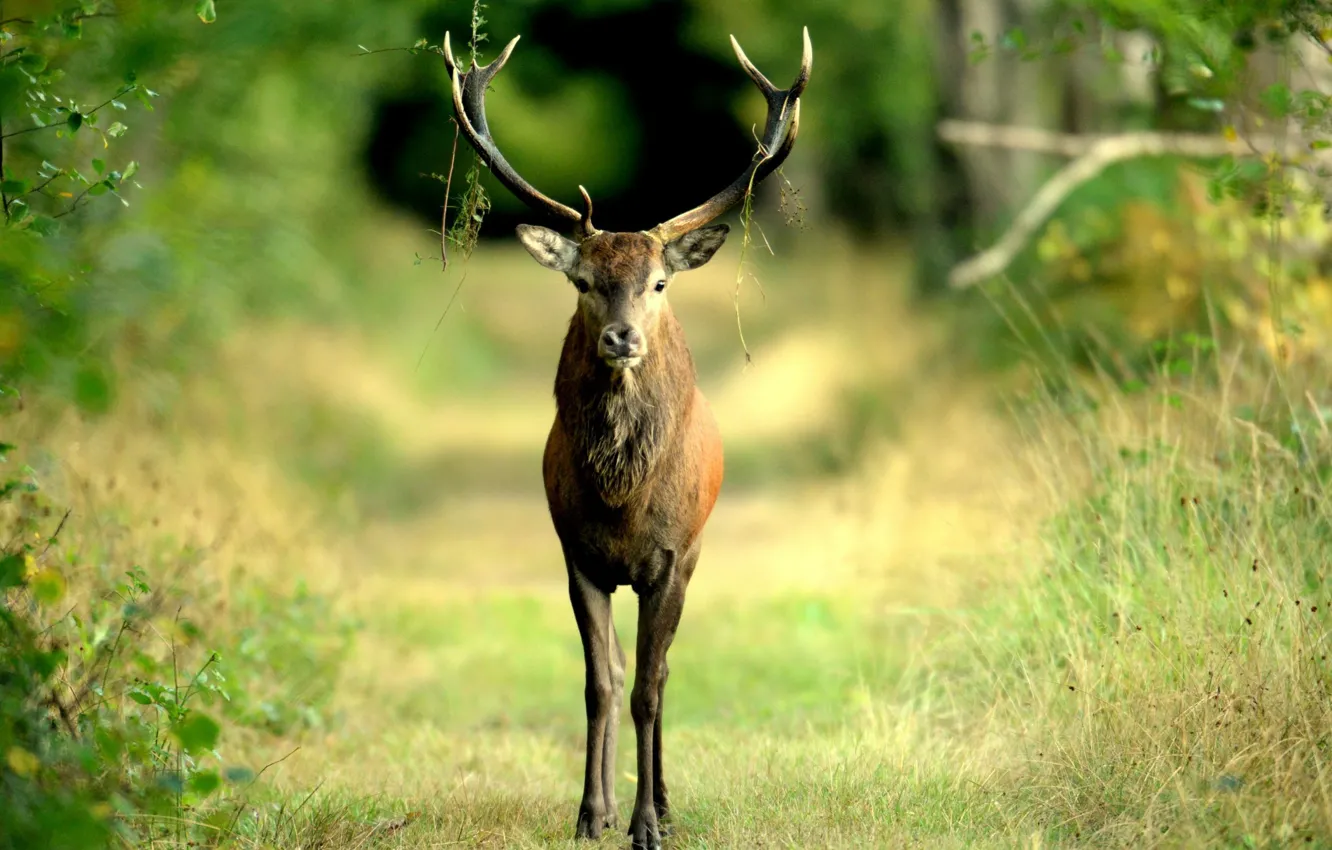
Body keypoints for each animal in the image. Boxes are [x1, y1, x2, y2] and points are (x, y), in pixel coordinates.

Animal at [442, 26, 804, 850]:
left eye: (659, 283)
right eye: (582, 282)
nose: (622, 338)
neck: (621, 499)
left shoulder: (669, 558)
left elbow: (645, 687)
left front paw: (646, 825)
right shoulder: (578, 555)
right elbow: (598, 684)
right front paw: (591, 813)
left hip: (698, 550)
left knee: (662, 672)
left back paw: (663, 801)